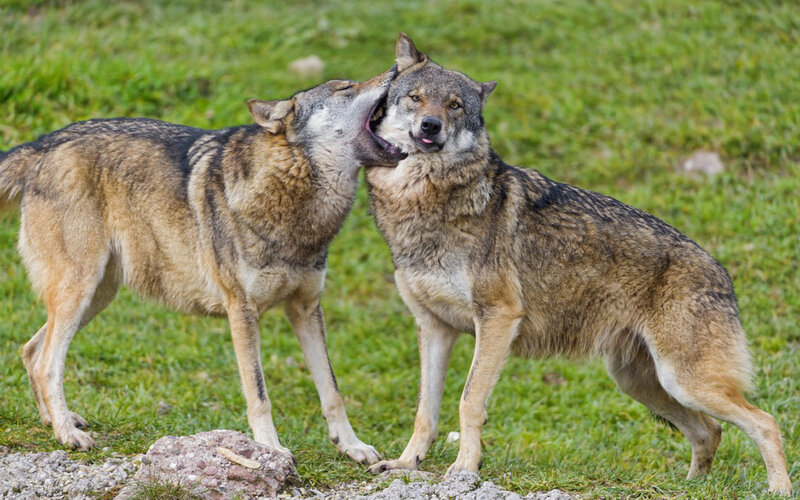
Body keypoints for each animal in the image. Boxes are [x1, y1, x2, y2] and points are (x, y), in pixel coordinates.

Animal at [0, 66, 406, 462]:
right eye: (345, 88)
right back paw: (67, 435)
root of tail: (44, 143)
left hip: (97, 296)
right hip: (80, 291)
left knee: (31, 350)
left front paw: (352, 446)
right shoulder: (242, 311)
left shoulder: (306, 309)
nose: (395, 68)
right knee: (48, 362)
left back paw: (58, 421)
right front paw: (270, 449)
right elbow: (259, 394)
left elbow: (332, 391)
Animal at [363, 34, 792, 494]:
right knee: (709, 431)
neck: (423, 202)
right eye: (416, 98)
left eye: (455, 105)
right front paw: (404, 463)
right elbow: (425, 411)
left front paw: (465, 469)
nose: (431, 126)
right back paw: (690, 488)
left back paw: (779, 489)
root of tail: (723, 273)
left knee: (765, 422)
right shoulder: (434, 329)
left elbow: (469, 400)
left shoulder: (497, 319)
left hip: (684, 381)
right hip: (643, 382)